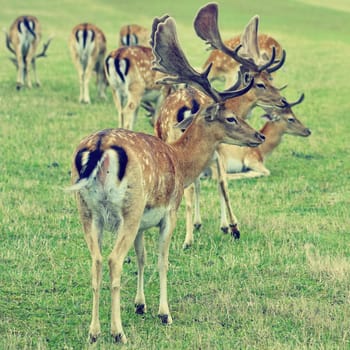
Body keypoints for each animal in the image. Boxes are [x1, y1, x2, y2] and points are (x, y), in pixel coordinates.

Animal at [68, 11, 266, 344]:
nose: (259, 136)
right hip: (129, 208)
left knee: (95, 260)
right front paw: (164, 313)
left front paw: (140, 305)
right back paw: (117, 332)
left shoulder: (141, 225)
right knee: (113, 260)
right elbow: (162, 260)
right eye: (230, 118)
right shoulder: (167, 212)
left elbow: (142, 257)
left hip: (87, 211)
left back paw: (93, 332)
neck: (181, 162)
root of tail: (99, 147)